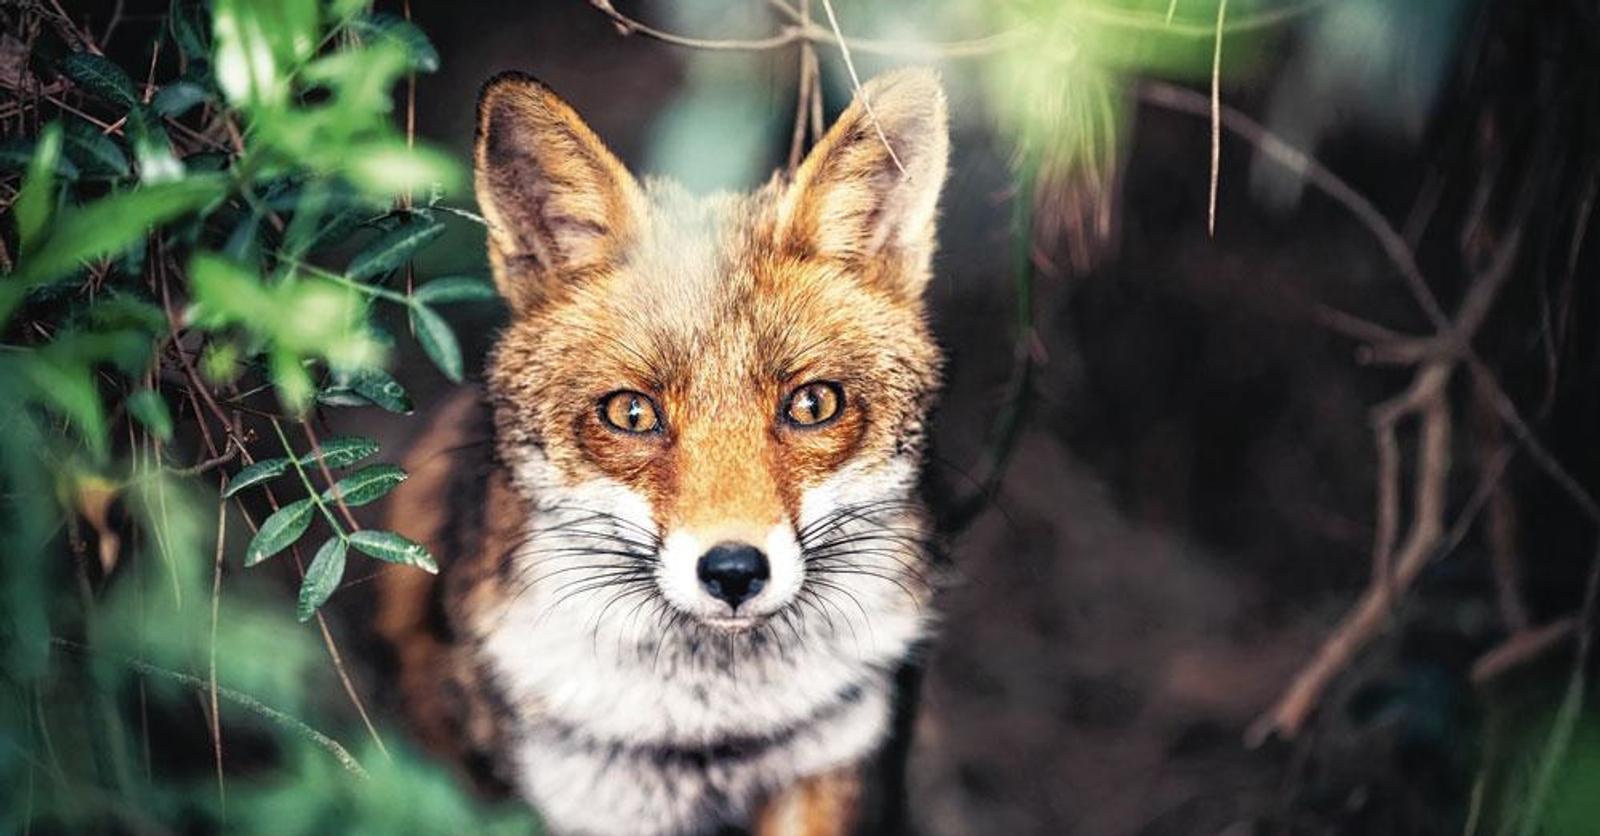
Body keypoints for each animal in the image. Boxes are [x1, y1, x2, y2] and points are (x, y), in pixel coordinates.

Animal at [375, 67, 949, 836]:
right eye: (633, 412)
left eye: (812, 405)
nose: (734, 571)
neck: (712, 732)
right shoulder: (589, 799)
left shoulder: (826, 764)